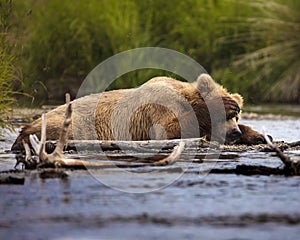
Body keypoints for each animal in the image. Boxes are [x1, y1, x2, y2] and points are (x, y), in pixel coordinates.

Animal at [11, 74, 268, 151]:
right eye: (228, 116)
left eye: (237, 117)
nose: (233, 132)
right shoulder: (156, 107)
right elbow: (168, 130)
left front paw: (258, 135)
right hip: (72, 123)